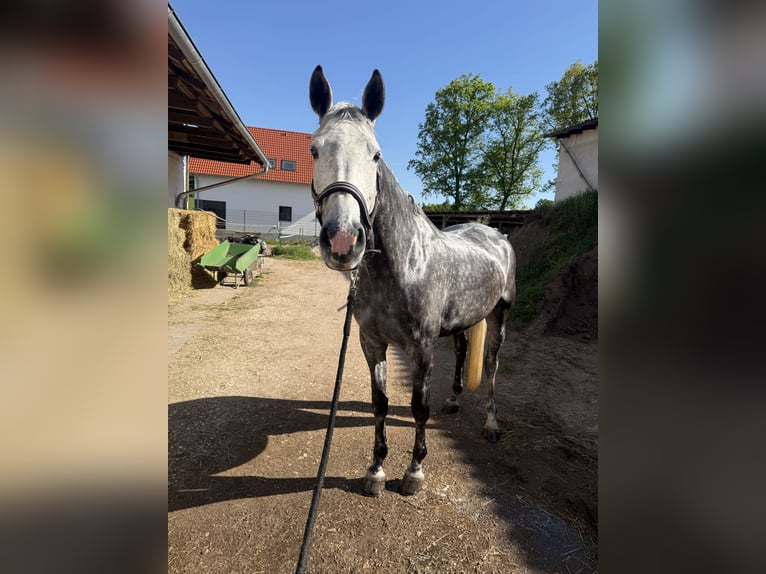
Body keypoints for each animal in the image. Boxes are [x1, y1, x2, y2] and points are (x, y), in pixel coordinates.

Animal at [309, 65, 516, 496]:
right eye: (315, 150)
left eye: (375, 154)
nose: (343, 240)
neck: (403, 265)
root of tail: (495, 234)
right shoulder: (372, 342)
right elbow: (381, 403)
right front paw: (375, 470)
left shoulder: (420, 347)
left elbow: (419, 407)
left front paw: (414, 472)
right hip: (464, 321)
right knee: (463, 351)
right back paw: (453, 402)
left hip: (501, 315)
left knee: (491, 366)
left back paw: (491, 424)